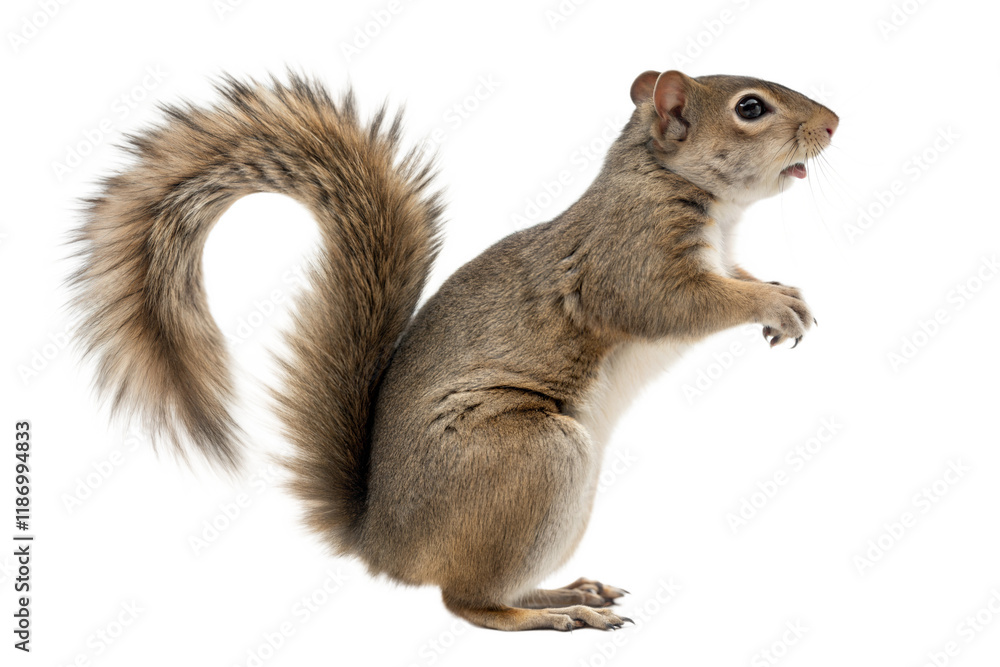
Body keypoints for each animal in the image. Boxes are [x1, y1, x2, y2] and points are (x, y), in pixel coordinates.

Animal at [69, 69, 838, 631]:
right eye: (750, 108)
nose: (833, 123)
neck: (668, 181)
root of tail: (384, 542)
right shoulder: (631, 262)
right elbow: (682, 302)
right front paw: (771, 305)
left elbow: (739, 276)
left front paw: (784, 293)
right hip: (538, 457)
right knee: (466, 601)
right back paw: (556, 617)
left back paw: (566, 592)